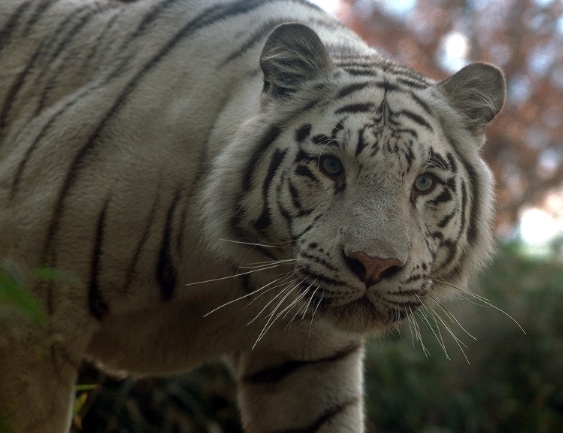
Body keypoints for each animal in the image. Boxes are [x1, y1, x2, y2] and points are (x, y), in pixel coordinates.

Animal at [0, 0, 506, 430]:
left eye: (424, 183)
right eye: (331, 166)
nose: (374, 265)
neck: (236, 266)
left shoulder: (309, 362)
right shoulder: (31, 316)